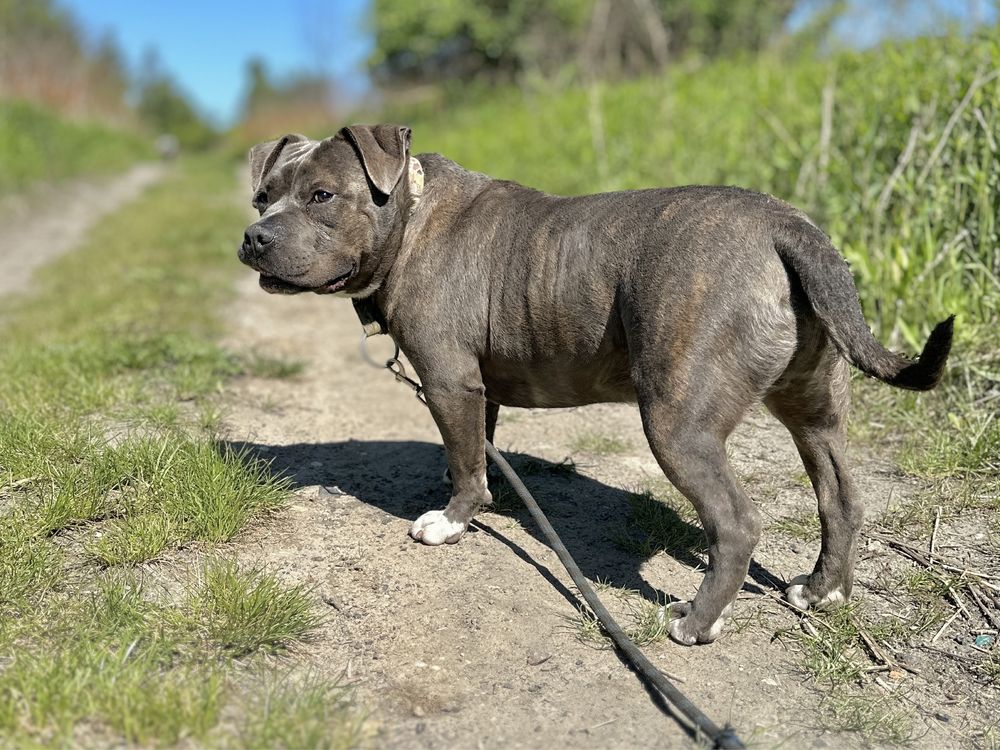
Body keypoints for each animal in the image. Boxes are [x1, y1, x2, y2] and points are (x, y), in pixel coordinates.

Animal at [240, 123, 952, 648]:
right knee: (840, 497)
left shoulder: (448, 382)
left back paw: (695, 622)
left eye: (322, 196)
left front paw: (450, 521)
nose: (253, 236)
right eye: (262, 197)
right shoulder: (477, 389)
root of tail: (789, 226)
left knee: (737, 523)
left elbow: (467, 465)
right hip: (811, 410)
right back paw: (823, 589)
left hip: (676, 422)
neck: (409, 215)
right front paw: (470, 498)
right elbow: (472, 452)